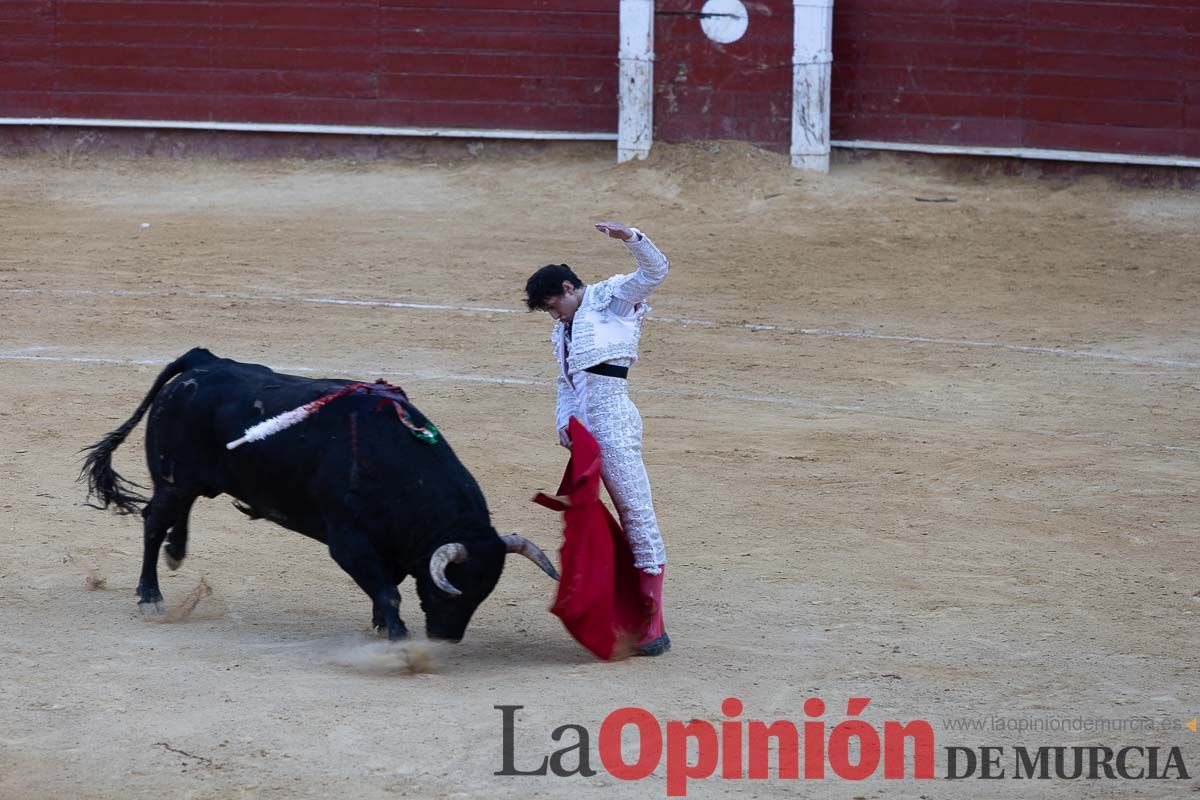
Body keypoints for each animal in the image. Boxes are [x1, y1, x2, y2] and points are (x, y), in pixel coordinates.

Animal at [82, 347, 559, 642]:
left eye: (484, 593)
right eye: (451, 590)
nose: (446, 638)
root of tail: (203, 361)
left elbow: (387, 586)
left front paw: (381, 625)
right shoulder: (348, 541)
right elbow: (388, 590)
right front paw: (398, 635)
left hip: (190, 481)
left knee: (178, 514)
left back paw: (176, 552)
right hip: (173, 479)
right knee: (153, 521)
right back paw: (151, 597)